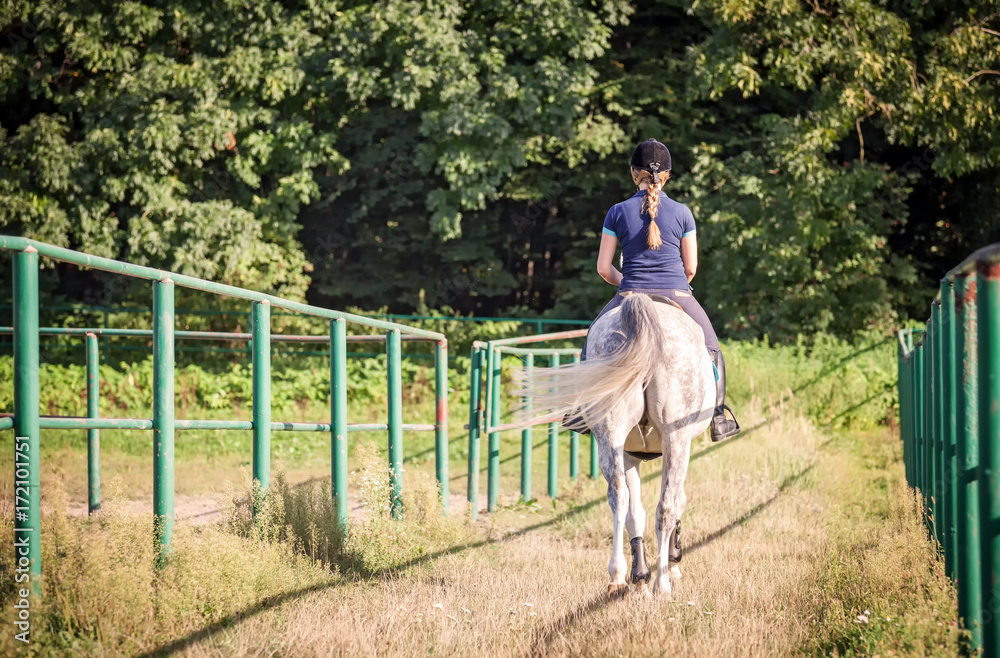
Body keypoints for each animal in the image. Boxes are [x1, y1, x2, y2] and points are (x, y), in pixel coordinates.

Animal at [532, 292, 712, 596]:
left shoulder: (628, 454)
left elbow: (634, 512)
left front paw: (640, 575)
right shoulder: (678, 443)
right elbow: (676, 502)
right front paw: (671, 565)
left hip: (610, 434)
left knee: (618, 496)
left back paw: (617, 576)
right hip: (675, 437)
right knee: (665, 506)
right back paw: (662, 584)